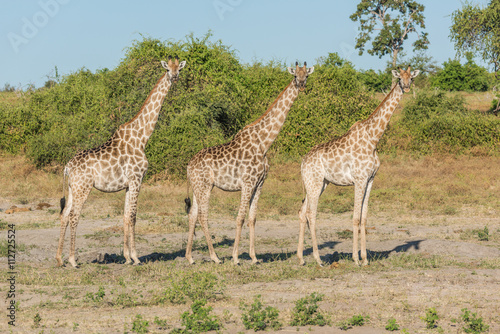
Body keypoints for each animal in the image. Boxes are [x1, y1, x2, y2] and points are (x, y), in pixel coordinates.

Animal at [54, 56, 187, 268]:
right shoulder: (137, 179)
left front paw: (126, 257)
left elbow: (125, 216)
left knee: (65, 214)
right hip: (83, 187)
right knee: (74, 215)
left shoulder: (127, 184)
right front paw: (136, 258)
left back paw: (59, 259)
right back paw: (73, 260)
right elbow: (133, 216)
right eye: (168, 69)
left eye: (179, 69)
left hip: (72, 188)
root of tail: (68, 167)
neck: (142, 138)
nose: (174, 77)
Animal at [186, 61, 314, 264]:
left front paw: (253, 257)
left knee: (192, 215)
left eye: (306, 76)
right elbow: (239, 218)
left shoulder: (259, 183)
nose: (301, 85)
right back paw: (215, 257)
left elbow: (252, 218)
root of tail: (189, 166)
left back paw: (190, 257)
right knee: (202, 216)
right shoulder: (247, 183)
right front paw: (235, 257)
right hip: (204, 186)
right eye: (295, 75)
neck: (264, 143)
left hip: (199, 186)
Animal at [298, 66, 420, 266]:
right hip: (315, 183)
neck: (373, 139)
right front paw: (356, 258)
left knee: (302, 212)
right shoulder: (359, 179)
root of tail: (302, 162)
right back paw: (318, 259)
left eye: (411, 78)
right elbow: (355, 218)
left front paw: (365, 258)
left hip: (318, 183)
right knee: (311, 214)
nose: (407, 87)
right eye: (400, 78)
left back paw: (301, 258)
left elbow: (364, 218)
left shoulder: (370, 180)